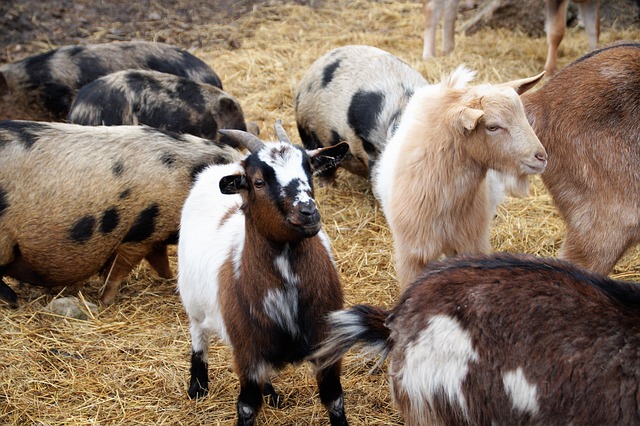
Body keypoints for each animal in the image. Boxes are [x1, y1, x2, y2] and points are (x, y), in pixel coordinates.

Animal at [178, 120, 350, 426]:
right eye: (258, 181)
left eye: (310, 171)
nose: (308, 212)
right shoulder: (247, 351)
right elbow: (247, 406)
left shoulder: (326, 345)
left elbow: (335, 400)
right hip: (193, 300)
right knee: (198, 334)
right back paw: (197, 386)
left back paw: (271, 392)